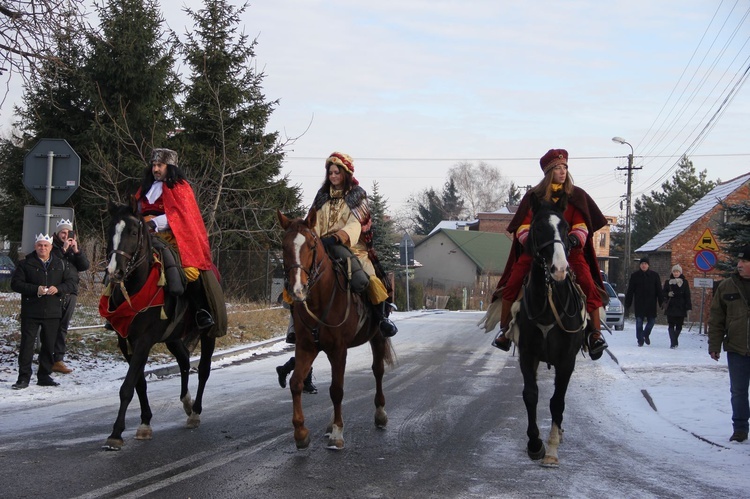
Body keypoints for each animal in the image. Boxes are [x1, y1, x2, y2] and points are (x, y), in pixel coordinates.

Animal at [278, 209, 396, 452]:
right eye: (284, 246)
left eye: (311, 245)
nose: (297, 289)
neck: (320, 299)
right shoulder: (307, 347)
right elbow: (296, 383)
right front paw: (301, 433)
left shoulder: (339, 349)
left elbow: (337, 390)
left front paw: (337, 434)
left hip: (378, 336)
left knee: (377, 371)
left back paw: (380, 413)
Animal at [516, 196, 592, 468]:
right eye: (538, 227)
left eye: (566, 228)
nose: (559, 268)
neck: (549, 303)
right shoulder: (527, 354)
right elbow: (531, 395)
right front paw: (535, 444)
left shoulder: (566, 360)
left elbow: (557, 401)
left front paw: (551, 450)